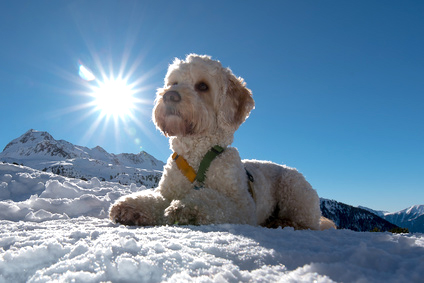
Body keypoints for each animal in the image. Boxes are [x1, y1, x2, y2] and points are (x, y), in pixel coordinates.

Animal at [111, 53, 336, 231]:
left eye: (203, 86)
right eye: (173, 83)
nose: (169, 96)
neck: (197, 156)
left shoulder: (243, 207)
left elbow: (213, 201)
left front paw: (186, 208)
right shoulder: (167, 190)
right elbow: (154, 198)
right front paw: (131, 207)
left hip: (294, 190)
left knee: (306, 223)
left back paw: (283, 222)